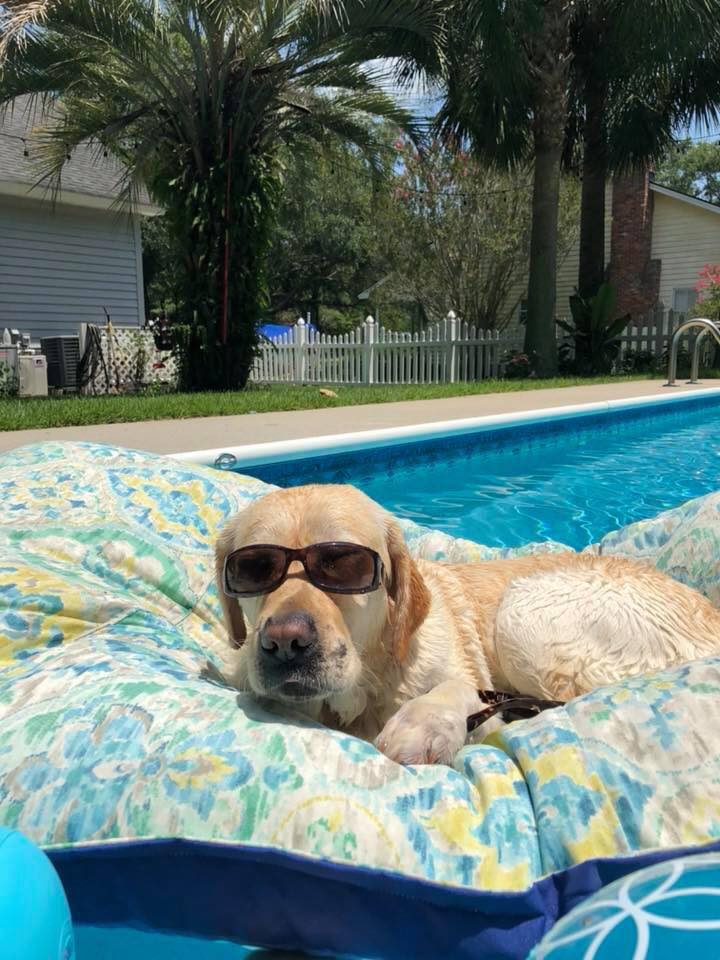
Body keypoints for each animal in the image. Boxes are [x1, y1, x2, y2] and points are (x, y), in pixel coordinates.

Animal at [215, 483, 720, 765]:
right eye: (253, 568)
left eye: (341, 563)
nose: (284, 642)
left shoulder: (468, 680)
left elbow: (455, 690)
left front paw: (421, 723)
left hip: (523, 610)